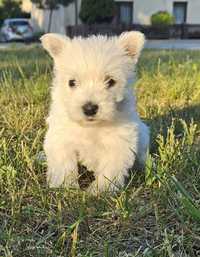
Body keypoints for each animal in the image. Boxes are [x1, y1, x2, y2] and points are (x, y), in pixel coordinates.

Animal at [41, 31, 149, 192]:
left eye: (110, 81)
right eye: (72, 82)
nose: (90, 108)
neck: (91, 127)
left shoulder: (118, 142)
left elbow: (110, 169)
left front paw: (100, 190)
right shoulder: (61, 138)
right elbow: (64, 165)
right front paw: (65, 187)